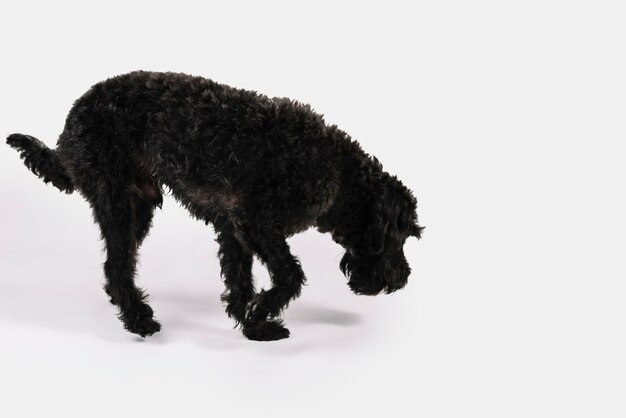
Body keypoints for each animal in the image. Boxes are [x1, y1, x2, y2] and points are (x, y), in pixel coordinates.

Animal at [4, 70, 422, 342]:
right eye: (400, 236)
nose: (403, 277)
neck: (335, 169)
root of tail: (71, 121)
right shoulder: (256, 222)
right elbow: (289, 274)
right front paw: (261, 310)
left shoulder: (233, 228)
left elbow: (239, 281)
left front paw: (252, 325)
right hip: (117, 202)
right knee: (117, 264)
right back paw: (137, 318)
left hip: (138, 206)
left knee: (116, 265)